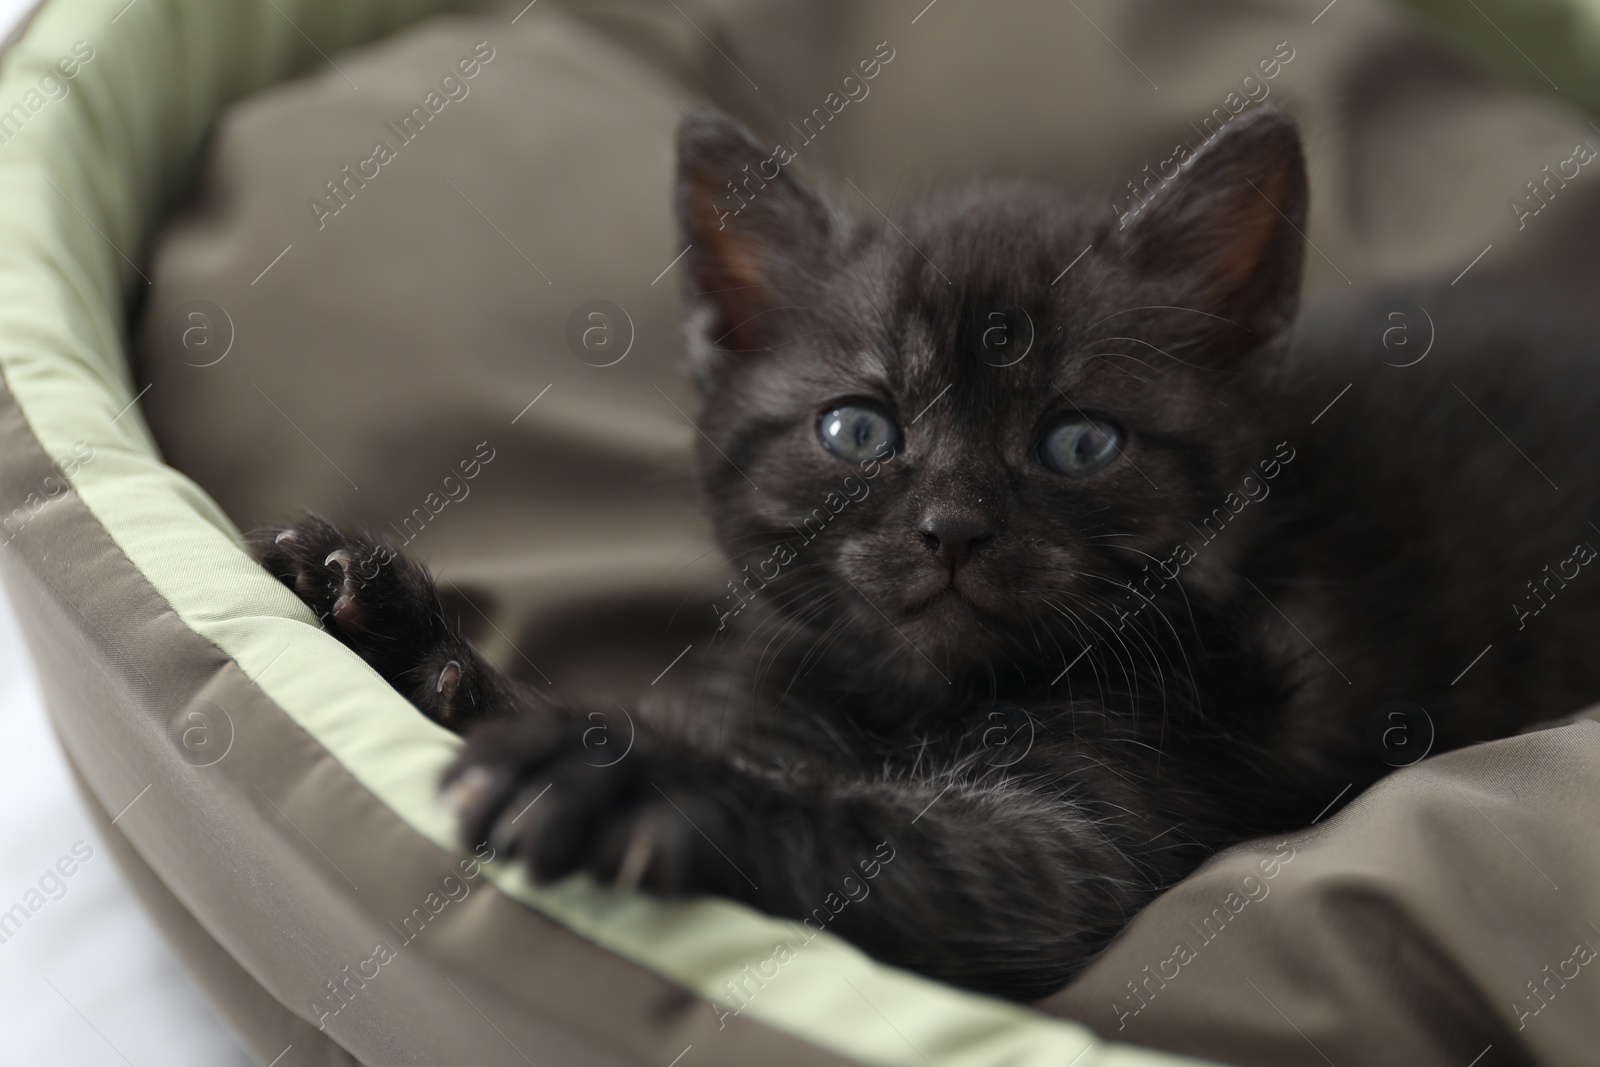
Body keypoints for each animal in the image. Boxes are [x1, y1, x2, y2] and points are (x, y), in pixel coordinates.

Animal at [256, 106, 1600, 1004]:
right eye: (859, 429)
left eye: (1077, 441)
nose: (952, 526)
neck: (907, 695)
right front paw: (395, 632)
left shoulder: (1071, 843)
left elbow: (865, 828)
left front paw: (630, 779)